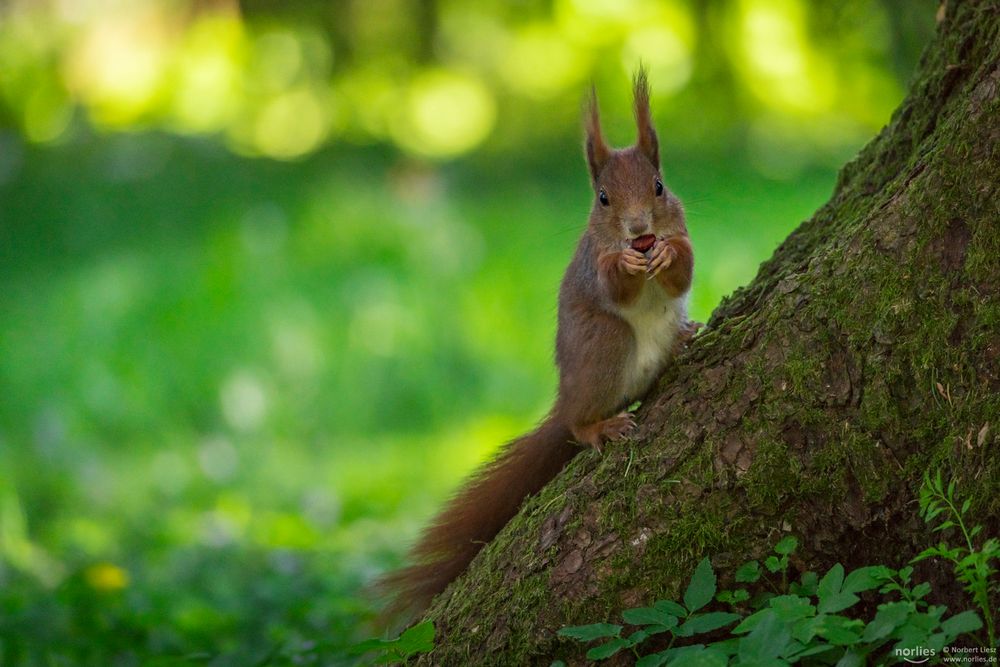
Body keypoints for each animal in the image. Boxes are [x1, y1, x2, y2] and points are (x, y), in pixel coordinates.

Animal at [382, 69, 696, 620]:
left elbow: (683, 272)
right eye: (603, 198)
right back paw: (598, 426)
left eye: (659, 187)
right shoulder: (594, 267)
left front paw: (668, 254)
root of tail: (567, 397)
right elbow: (614, 286)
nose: (639, 231)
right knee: (577, 424)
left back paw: (681, 339)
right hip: (605, 346)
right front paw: (626, 265)